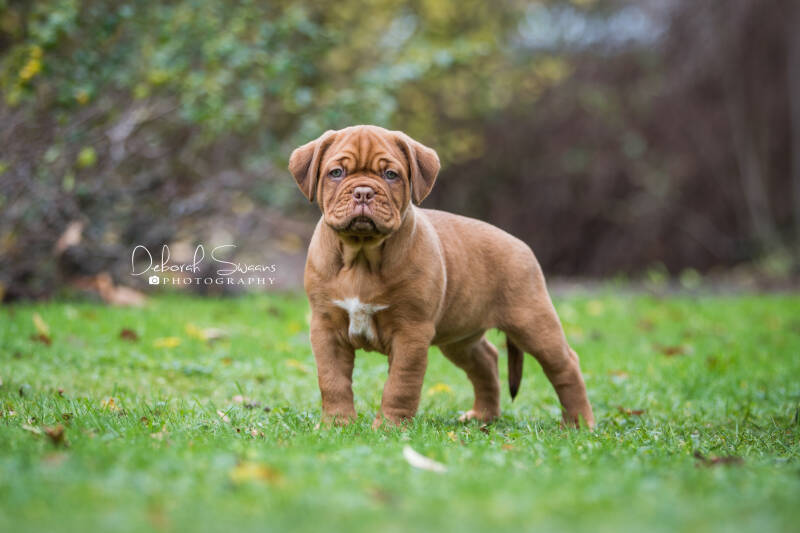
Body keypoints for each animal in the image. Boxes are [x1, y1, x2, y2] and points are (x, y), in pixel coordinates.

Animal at [289, 125, 594, 428]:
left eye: (391, 175)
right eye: (336, 173)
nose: (363, 192)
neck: (362, 256)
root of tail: (520, 244)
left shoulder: (411, 331)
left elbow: (400, 384)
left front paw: (389, 427)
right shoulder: (326, 328)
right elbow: (333, 380)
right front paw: (337, 424)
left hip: (533, 322)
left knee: (566, 365)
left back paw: (579, 423)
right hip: (460, 337)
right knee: (486, 360)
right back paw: (483, 416)